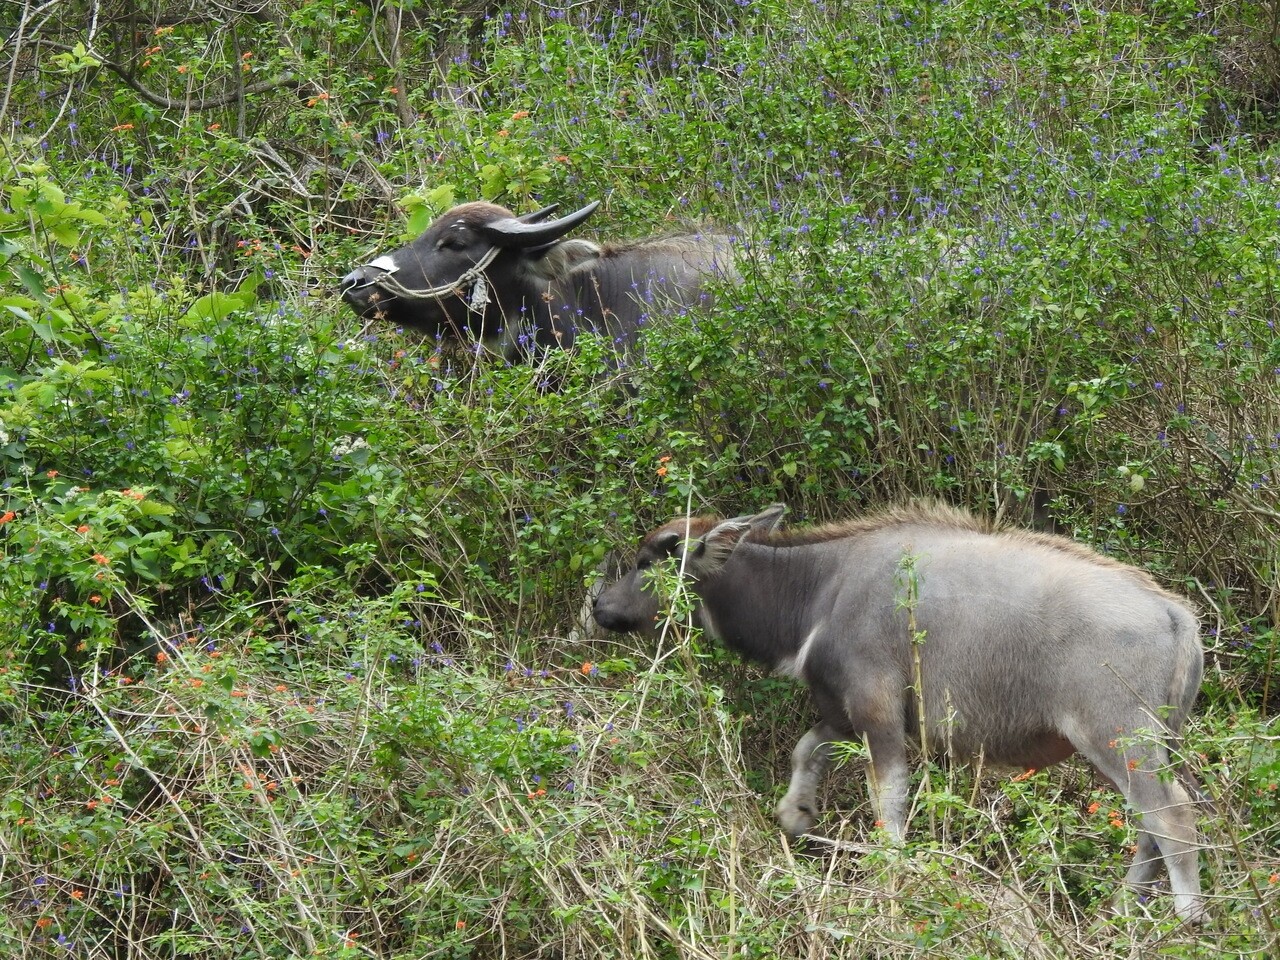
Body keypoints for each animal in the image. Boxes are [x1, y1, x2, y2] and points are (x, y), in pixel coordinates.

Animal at [593, 504, 1203, 926]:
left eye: (649, 560)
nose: (601, 608)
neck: (822, 587)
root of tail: (1177, 617)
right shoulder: (842, 713)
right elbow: (806, 748)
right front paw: (797, 814)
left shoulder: (878, 716)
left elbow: (887, 809)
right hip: (1149, 748)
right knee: (1152, 825)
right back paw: (1122, 911)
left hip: (1117, 739)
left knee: (1172, 818)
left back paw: (1187, 918)